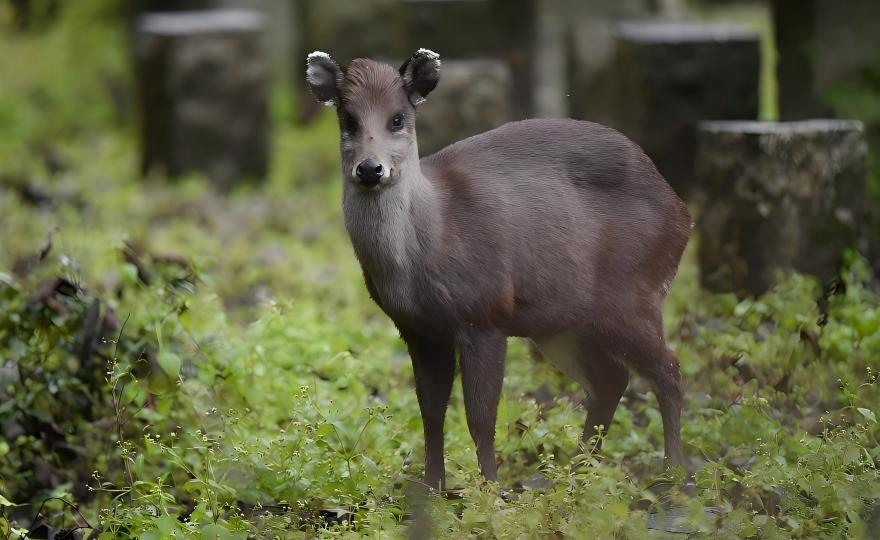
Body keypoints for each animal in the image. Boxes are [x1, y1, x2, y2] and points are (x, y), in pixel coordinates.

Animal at [305, 48, 692, 491]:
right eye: (348, 119)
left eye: (398, 118)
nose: (371, 169)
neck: (430, 240)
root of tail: (682, 213)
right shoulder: (418, 329)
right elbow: (431, 412)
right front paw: (432, 488)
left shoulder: (484, 315)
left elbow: (480, 418)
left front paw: (490, 490)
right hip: (564, 322)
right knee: (611, 379)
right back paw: (575, 474)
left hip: (632, 294)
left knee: (668, 369)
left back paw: (673, 475)